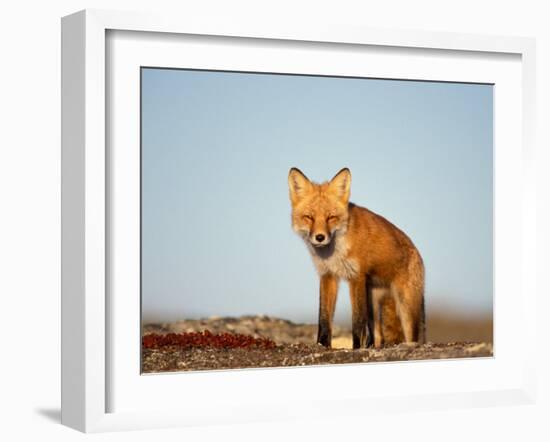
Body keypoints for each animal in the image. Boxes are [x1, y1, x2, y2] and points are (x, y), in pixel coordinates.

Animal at [288, 167, 426, 348]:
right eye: (309, 217)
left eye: (331, 217)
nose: (320, 237)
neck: (335, 252)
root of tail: (417, 251)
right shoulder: (328, 275)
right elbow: (324, 319)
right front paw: (323, 345)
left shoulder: (357, 276)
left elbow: (357, 322)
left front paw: (356, 348)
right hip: (373, 306)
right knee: (377, 337)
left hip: (406, 308)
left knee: (412, 336)